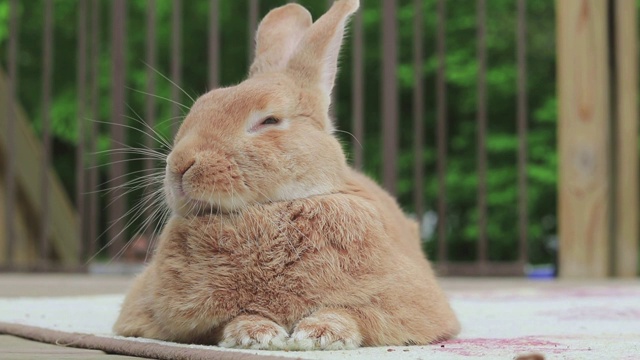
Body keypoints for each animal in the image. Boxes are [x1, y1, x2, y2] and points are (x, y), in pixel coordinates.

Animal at [112, 0, 458, 350]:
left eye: (269, 121)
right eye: (200, 107)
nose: (180, 165)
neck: (270, 209)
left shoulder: (403, 301)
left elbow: (352, 312)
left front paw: (319, 334)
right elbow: (222, 323)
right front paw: (257, 334)